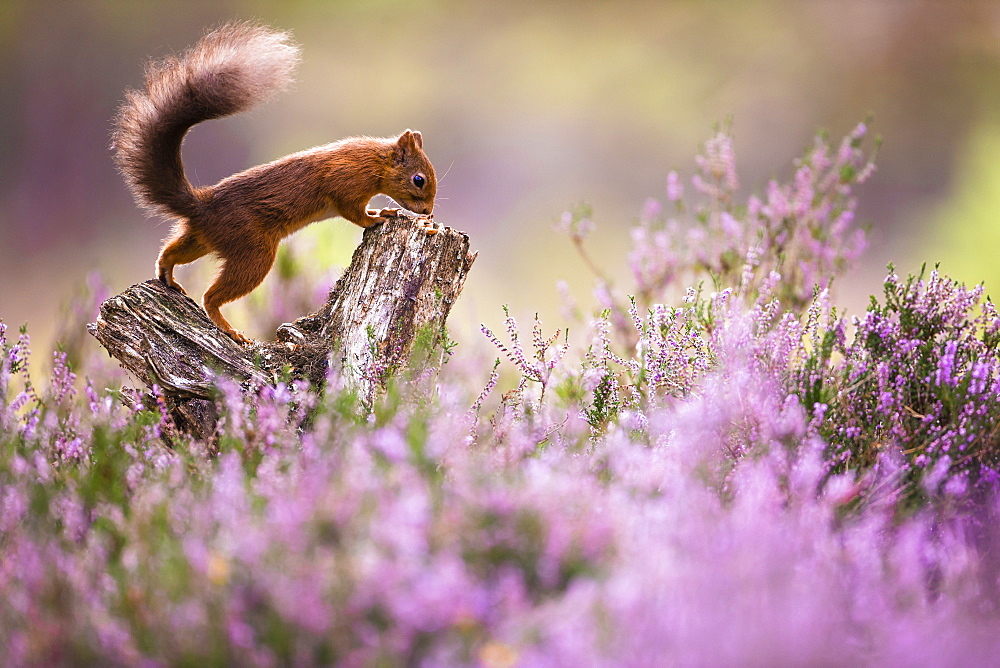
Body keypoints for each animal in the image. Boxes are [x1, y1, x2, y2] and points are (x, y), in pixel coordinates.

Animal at [111, 22, 436, 342]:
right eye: (418, 179)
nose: (428, 212)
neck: (374, 161)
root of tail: (202, 205)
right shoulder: (344, 184)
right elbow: (354, 213)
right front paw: (379, 216)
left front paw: (385, 212)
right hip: (253, 251)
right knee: (211, 296)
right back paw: (226, 327)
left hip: (203, 239)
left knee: (172, 251)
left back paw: (167, 272)